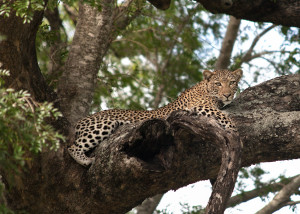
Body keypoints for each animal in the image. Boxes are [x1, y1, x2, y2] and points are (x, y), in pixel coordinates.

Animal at [68, 69, 244, 166]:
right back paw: (86, 160)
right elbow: (224, 116)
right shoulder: (202, 106)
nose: (227, 94)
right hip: (104, 124)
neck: (205, 88)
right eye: (218, 83)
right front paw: (235, 130)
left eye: (232, 82)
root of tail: (80, 120)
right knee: (73, 147)